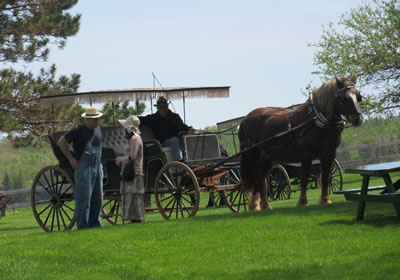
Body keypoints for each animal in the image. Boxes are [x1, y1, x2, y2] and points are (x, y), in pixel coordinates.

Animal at [239, 76, 364, 210]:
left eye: (358, 96)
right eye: (344, 98)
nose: (358, 119)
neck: (317, 120)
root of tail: (245, 120)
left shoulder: (329, 155)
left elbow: (325, 178)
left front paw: (325, 200)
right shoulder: (306, 155)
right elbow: (304, 178)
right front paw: (303, 202)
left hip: (267, 159)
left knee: (261, 180)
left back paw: (257, 205)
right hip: (254, 157)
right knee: (260, 180)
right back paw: (265, 206)